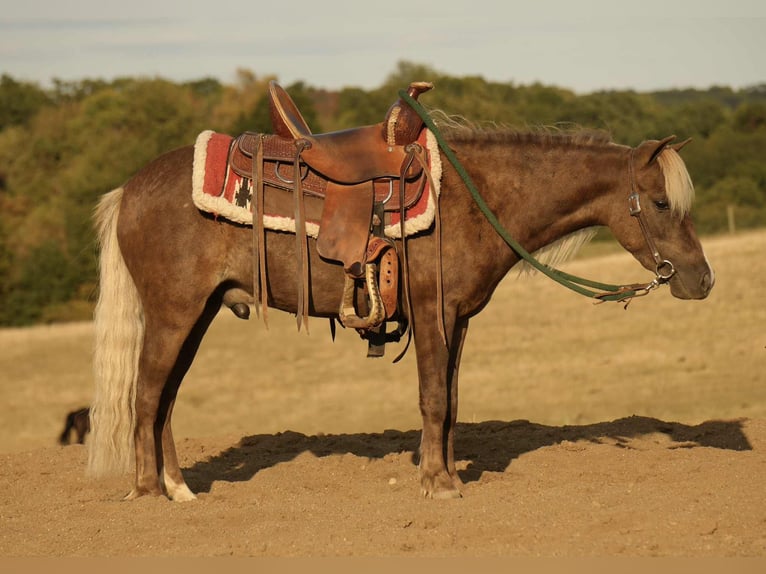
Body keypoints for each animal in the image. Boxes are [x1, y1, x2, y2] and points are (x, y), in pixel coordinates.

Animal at [87, 96, 714, 502]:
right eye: (662, 203)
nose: (702, 279)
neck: (473, 197)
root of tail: (129, 190)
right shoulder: (433, 314)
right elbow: (433, 398)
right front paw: (436, 485)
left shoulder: (458, 320)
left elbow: (452, 401)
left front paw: (449, 474)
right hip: (174, 313)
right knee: (146, 395)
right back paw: (148, 492)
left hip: (197, 315)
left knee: (165, 399)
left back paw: (179, 488)